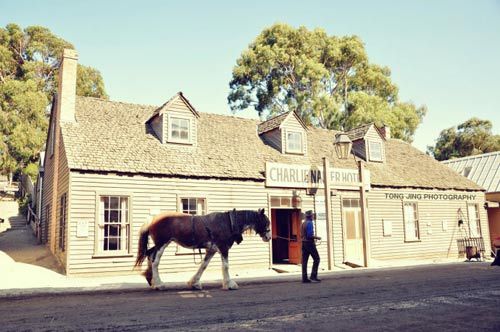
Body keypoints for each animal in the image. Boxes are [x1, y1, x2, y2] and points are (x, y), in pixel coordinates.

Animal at [135, 209, 272, 290]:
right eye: (266, 222)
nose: (269, 237)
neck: (228, 223)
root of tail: (152, 218)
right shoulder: (223, 247)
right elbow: (225, 266)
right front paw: (229, 284)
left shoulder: (211, 250)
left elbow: (203, 266)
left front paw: (194, 283)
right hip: (162, 243)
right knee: (155, 261)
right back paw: (159, 284)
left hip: (160, 244)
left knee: (149, 255)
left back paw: (152, 281)